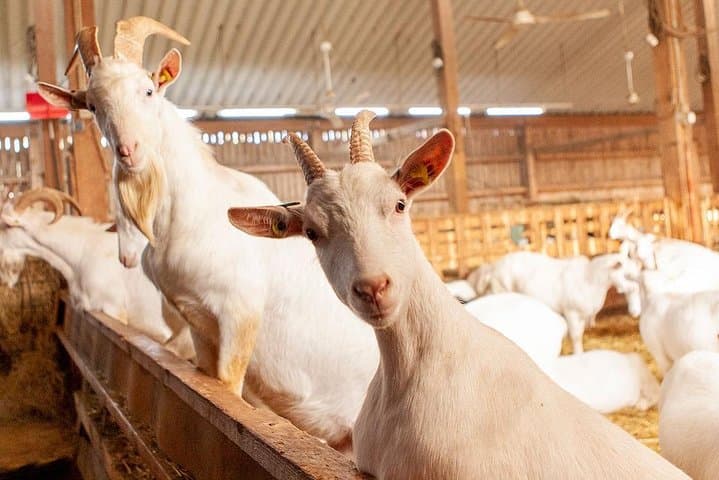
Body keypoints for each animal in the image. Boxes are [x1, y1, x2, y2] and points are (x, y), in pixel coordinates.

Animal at [37, 17, 379, 450]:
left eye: (148, 90)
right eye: (94, 105)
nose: (130, 150)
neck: (192, 214)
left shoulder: (239, 310)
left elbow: (229, 389)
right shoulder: (197, 321)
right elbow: (207, 378)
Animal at [473, 251, 633, 353]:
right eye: (627, 274)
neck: (591, 279)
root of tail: (494, 267)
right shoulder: (571, 312)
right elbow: (576, 337)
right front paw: (579, 355)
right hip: (500, 289)